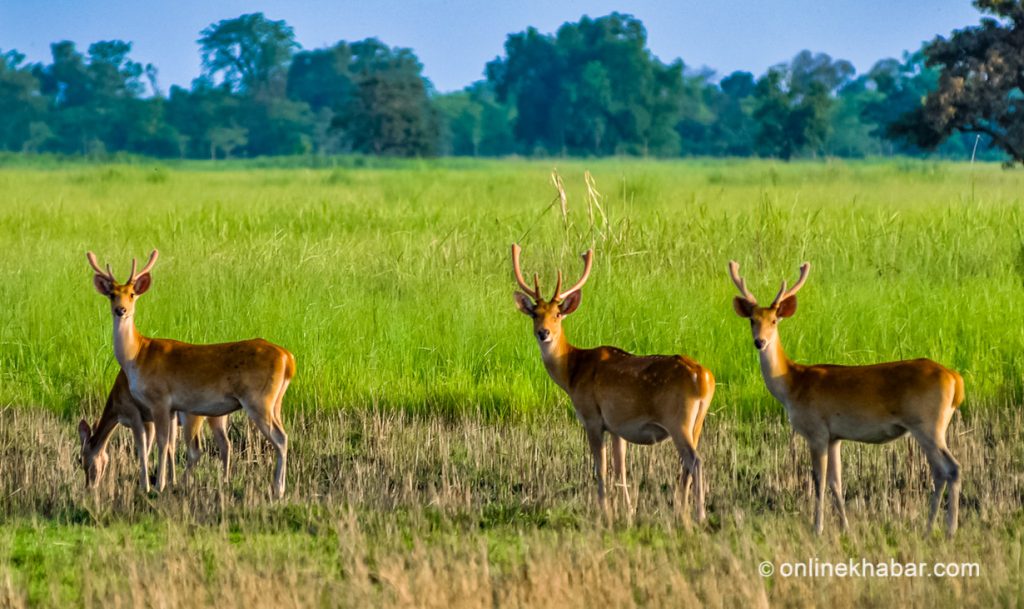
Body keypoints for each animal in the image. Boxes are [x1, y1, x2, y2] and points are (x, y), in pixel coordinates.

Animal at [78, 368, 233, 493]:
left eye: (82, 461)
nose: (88, 487)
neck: (117, 408)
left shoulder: (135, 414)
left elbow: (144, 448)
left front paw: (146, 484)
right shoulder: (150, 419)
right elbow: (168, 445)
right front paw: (170, 480)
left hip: (191, 415)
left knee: (198, 449)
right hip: (217, 417)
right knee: (225, 444)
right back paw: (225, 481)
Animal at [509, 245, 712, 522]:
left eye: (558, 314)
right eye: (535, 314)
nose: (544, 333)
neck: (572, 372)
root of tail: (704, 378)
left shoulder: (592, 417)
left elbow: (601, 469)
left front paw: (603, 511)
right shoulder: (617, 425)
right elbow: (620, 468)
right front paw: (628, 510)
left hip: (677, 420)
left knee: (695, 461)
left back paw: (698, 514)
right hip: (697, 422)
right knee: (688, 464)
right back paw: (681, 509)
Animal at [729, 259, 958, 536]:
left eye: (774, 320)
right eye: (752, 320)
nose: (759, 342)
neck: (792, 384)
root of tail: (955, 378)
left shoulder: (816, 430)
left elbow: (818, 481)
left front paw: (817, 528)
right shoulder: (834, 437)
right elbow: (835, 482)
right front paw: (845, 527)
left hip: (927, 423)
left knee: (949, 469)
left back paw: (944, 528)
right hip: (931, 426)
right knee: (942, 471)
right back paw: (937, 527)